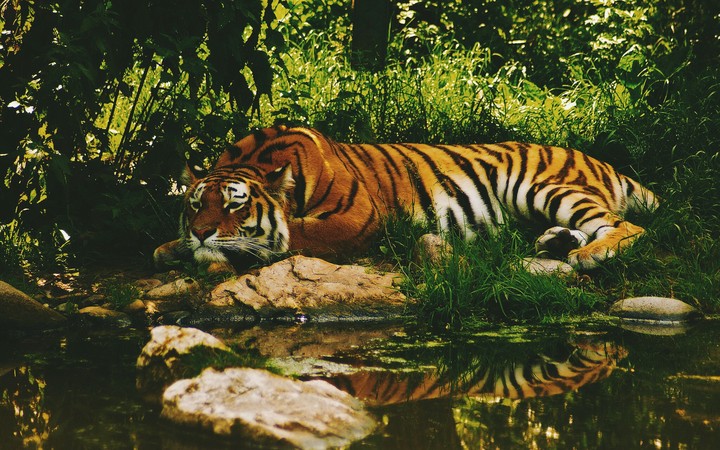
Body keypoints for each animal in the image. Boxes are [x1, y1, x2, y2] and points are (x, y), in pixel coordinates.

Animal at [153, 125, 658, 272]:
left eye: (235, 204)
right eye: (196, 204)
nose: (201, 233)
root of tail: (600, 161)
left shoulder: (357, 217)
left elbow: (294, 234)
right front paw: (171, 247)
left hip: (542, 186)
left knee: (626, 226)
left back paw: (589, 255)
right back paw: (556, 243)